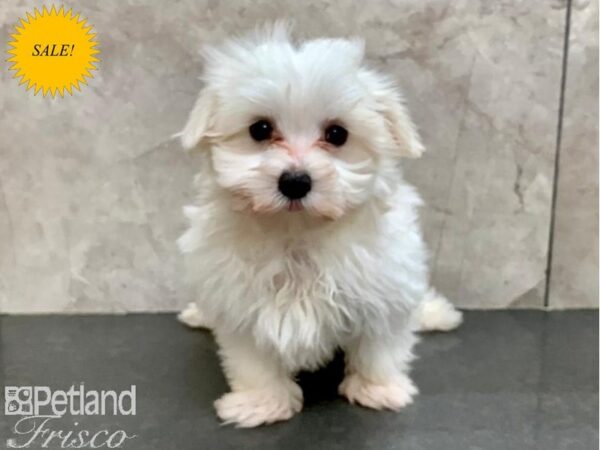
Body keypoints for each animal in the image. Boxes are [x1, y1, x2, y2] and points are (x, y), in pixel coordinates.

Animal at [176, 25, 462, 428]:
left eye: (337, 134)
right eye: (260, 129)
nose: (295, 181)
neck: (297, 232)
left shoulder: (386, 285)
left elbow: (380, 345)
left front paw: (379, 389)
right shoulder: (239, 301)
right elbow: (253, 360)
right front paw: (261, 403)